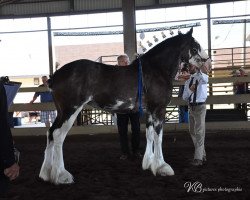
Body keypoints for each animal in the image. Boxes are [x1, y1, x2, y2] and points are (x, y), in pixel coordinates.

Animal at [39, 28, 211, 184]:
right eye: (194, 47)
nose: (207, 62)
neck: (156, 70)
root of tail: (55, 76)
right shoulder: (159, 109)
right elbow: (158, 136)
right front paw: (162, 167)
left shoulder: (149, 111)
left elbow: (149, 135)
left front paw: (148, 164)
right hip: (70, 110)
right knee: (58, 135)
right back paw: (62, 175)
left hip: (61, 112)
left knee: (50, 133)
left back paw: (46, 173)